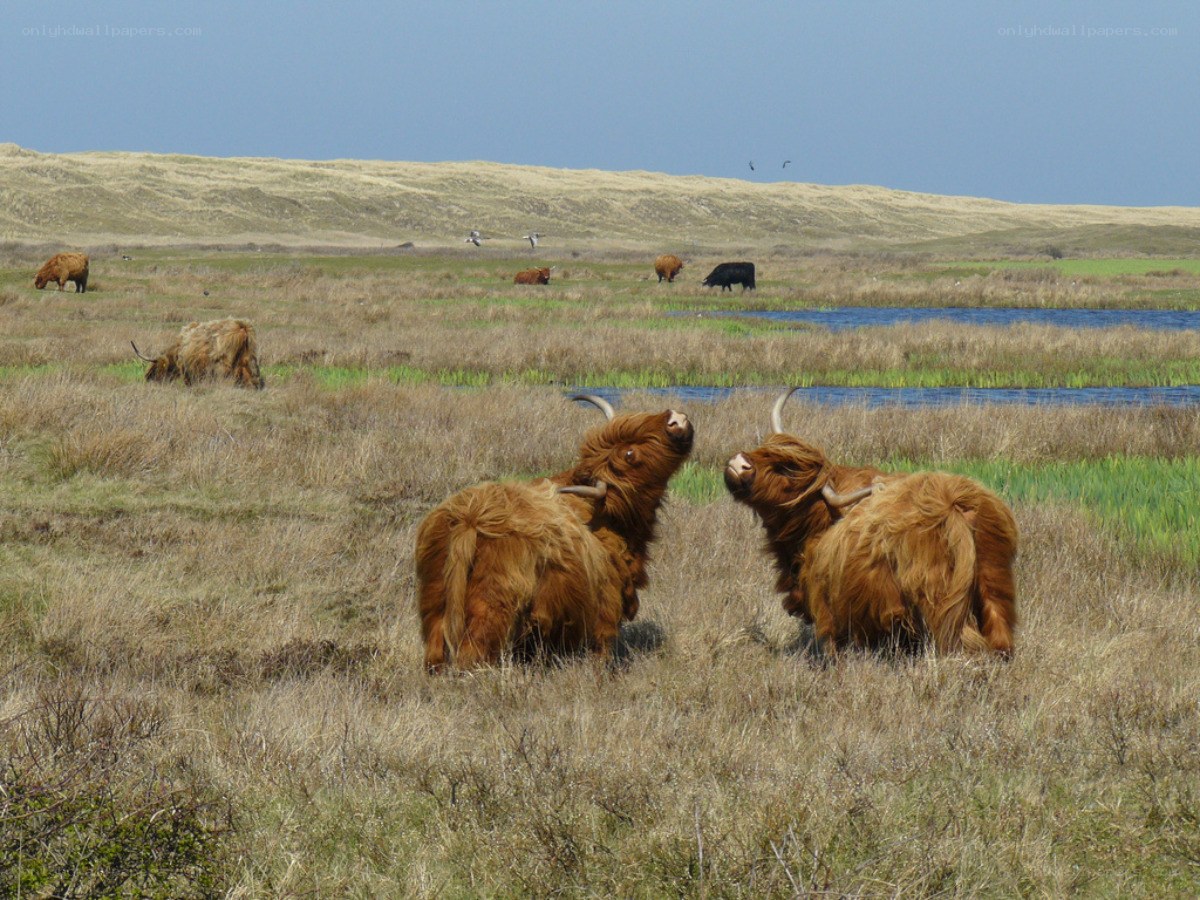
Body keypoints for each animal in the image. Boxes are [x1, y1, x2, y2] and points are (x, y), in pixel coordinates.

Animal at [132, 318, 265, 389]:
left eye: (156, 370)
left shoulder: (188, 372)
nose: (148, 380)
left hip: (222, 368)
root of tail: (242, 327)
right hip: (250, 362)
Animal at [416, 394, 694, 672]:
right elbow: (602, 650)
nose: (676, 418)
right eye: (629, 454)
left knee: (436, 650)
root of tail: (470, 519)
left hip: (435, 598)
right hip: (492, 605)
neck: (610, 518)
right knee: (473, 653)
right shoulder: (607, 605)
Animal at [724, 388, 1017, 658]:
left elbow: (832, 648)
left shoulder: (827, 607)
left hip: (939, 599)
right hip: (993, 583)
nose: (739, 463)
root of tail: (954, 504)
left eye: (787, 470)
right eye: (764, 448)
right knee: (999, 635)